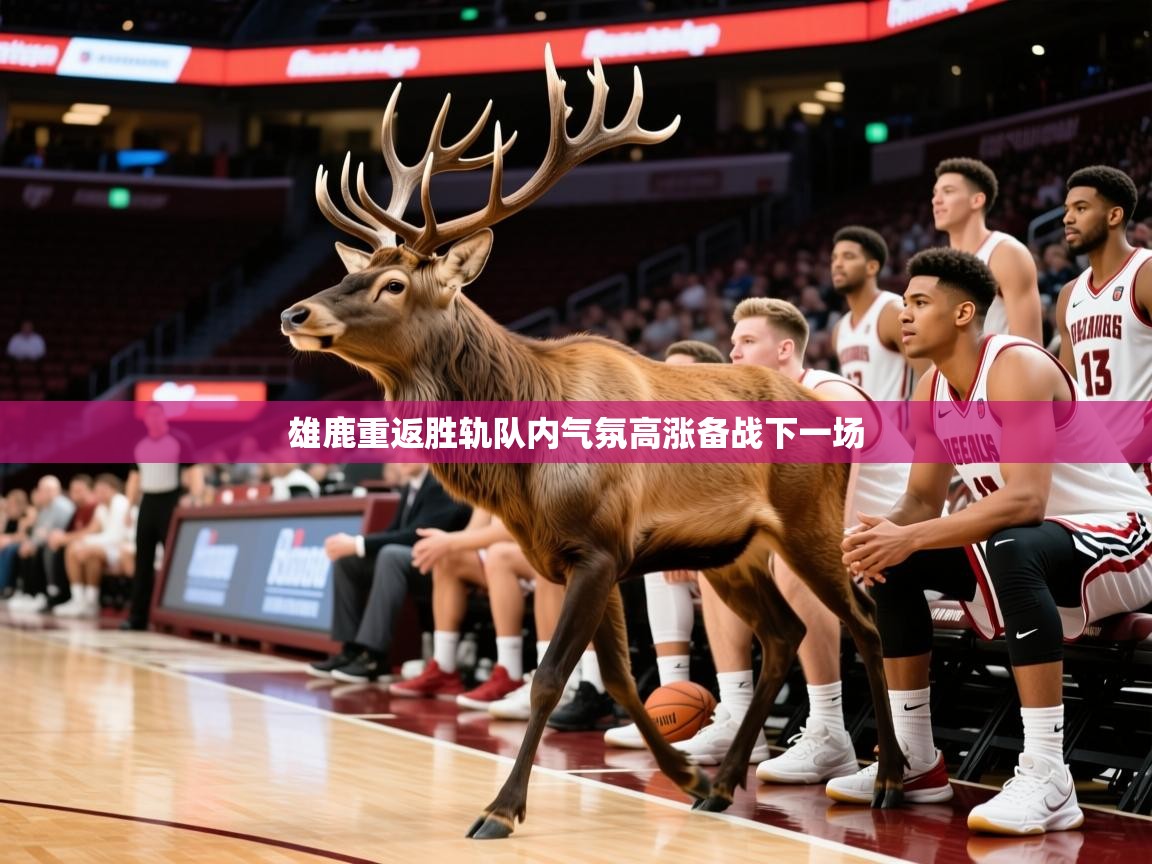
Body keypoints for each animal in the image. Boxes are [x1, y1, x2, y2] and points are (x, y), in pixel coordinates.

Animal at [281, 47, 905, 839]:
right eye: (351, 269)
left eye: (392, 283)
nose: (295, 312)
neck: (522, 458)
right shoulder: (594, 554)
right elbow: (617, 677)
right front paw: (684, 772)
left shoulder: (601, 546)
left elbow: (551, 676)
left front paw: (501, 809)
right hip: (733, 552)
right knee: (784, 634)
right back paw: (722, 783)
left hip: (811, 523)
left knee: (863, 625)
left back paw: (887, 778)